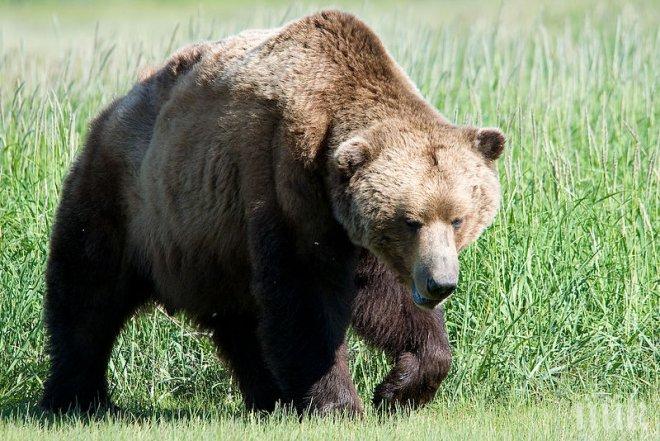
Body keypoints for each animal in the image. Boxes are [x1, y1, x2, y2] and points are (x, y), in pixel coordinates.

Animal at [41, 11, 506, 416]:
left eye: (458, 218)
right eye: (410, 221)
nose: (439, 283)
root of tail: (112, 109)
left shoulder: (352, 230)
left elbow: (387, 301)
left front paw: (399, 388)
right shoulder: (284, 182)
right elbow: (305, 296)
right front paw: (340, 403)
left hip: (214, 246)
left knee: (239, 323)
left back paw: (268, 397)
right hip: (128, 200)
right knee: (87, 295)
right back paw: (77, 399)